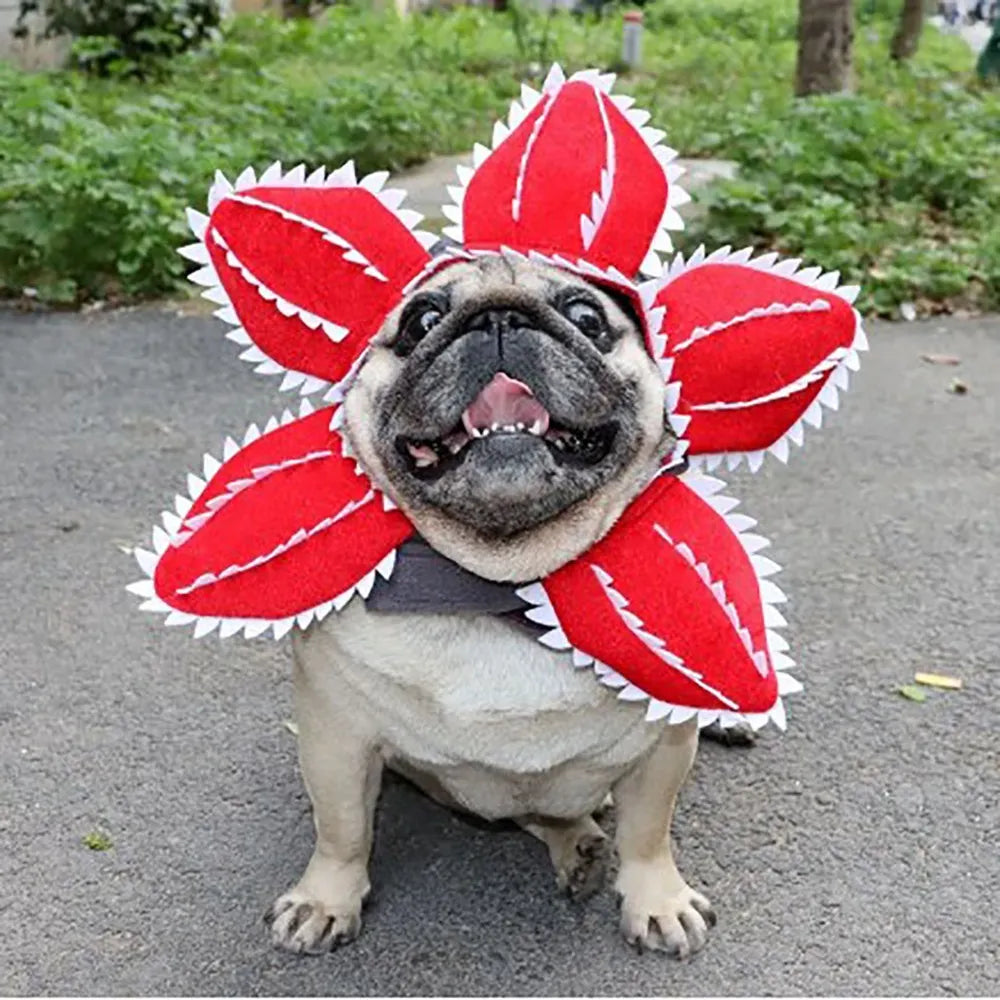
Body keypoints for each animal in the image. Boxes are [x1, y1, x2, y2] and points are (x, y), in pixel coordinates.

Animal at [264, 254, 720, 956]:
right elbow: (342, 828)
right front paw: (323, 900)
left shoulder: (666, 743)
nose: (499, 316)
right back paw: (579, 847)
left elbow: (650, 829)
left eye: (586, 315)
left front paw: (658, 901)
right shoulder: (335, 738)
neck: (502, 581)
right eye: (422, 320)